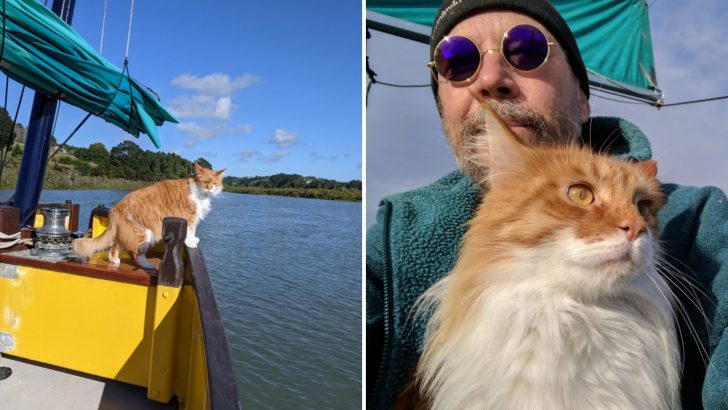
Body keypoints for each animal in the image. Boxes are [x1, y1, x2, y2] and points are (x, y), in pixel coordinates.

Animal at [73, 162, 225, 270]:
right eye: (205, 182)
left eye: (214, 182)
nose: (210, 188)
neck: (200, 194)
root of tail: (116, 208)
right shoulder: (189, 217)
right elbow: (190, 232)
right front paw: (191, 242)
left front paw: (194, 240)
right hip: (144, 234)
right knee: (137, 254)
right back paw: (148, 266)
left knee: (115, 245)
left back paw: (114, 260)